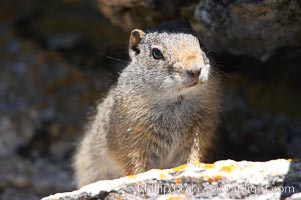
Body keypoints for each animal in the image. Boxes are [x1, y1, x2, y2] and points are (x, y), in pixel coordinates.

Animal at [74, 22, 221, 188]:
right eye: (156, 53)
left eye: (200, 44)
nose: (195, 70)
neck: (175, 102)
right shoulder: (133, 139)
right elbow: (136, 165)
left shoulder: (200, 130)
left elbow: (193, 156)